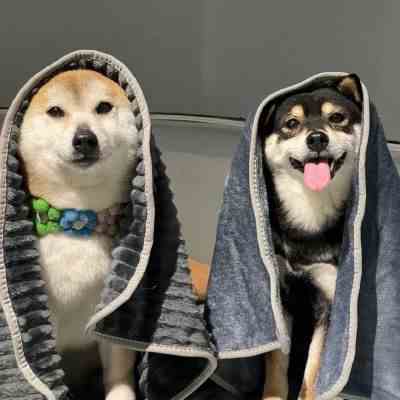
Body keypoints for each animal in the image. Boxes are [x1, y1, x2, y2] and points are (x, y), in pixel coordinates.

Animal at [18, 70, 139, 400]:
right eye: (56, 111)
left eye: (104, 107)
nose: (85, 138)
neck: (79, 219)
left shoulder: (111, 313)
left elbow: (119, 374)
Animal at [261, 75, 362, 399]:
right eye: (291, 123)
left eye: (337, 118)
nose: (317, 138)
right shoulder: (280, 296)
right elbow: (277, 367)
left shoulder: (328, 302)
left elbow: (313, 373)